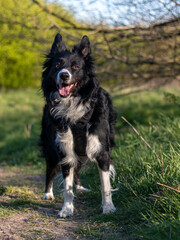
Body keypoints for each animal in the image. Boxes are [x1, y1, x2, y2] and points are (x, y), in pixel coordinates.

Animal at [40, 33, 116, 218]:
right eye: (57, 65)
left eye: (75, 66)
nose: (64, 75)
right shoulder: (65, 150)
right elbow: (67, 187)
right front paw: (67, 209)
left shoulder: (101, 151)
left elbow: (105, 185)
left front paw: (108, 208)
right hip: (51, 148)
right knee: (50, 169)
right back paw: (48, 193)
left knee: (77, 170)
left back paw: (80, 188)